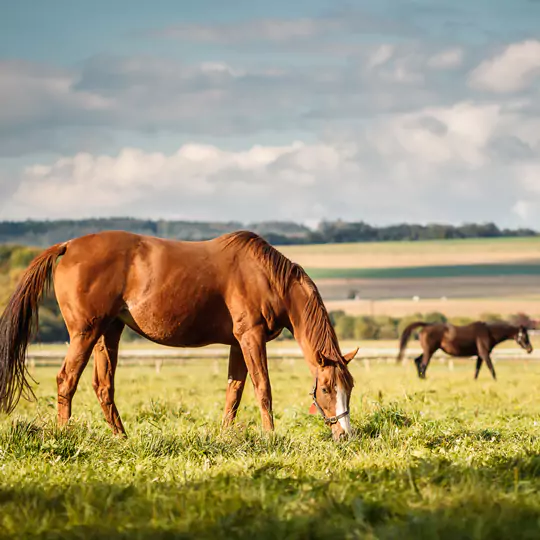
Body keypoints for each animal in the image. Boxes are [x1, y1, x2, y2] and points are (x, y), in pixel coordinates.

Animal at [0, 231, 358, 438]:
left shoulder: (237, 344)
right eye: (326, 389)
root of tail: (68, 245)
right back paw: (64, 435)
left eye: (349, 388)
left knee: (103, 387)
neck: (267, 277)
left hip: (108, 332)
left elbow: (235, 391)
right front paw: (270, 435)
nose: (344, 433)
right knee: (67, 380)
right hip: (85, 333)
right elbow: (263, 388)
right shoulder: (250, 338)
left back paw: (122, 437)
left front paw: (225, 436)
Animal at [396, 320, 532, 380]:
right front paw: (495, 380)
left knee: (417, 361)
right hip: (430, 350)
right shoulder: (484, 353)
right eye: (524, 336)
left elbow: (477, 369)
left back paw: (420, 377)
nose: (530, 349)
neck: (489, 333)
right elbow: (491, 368)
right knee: (423, 364)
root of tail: (426, 325)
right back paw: (423, 378)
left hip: (428, 350)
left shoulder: (479, 355)